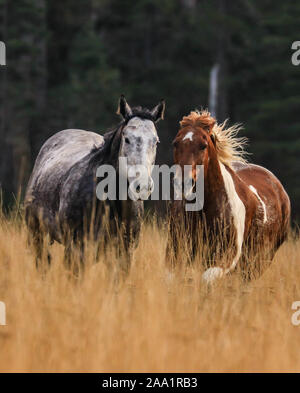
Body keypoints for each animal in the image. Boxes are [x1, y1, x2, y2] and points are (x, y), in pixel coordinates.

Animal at [25, 95, 166, 270]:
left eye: (156, 142)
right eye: (127, 139)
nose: (143, 186)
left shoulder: (125, 253)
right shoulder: (76, 249)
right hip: (37, 235)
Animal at [166, 110, 290, 282]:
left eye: (203, 145)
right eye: (175, 143)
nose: (183, 182)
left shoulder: (227, 256)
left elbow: (206, 279)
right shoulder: (175, 252)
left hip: (260, 261)